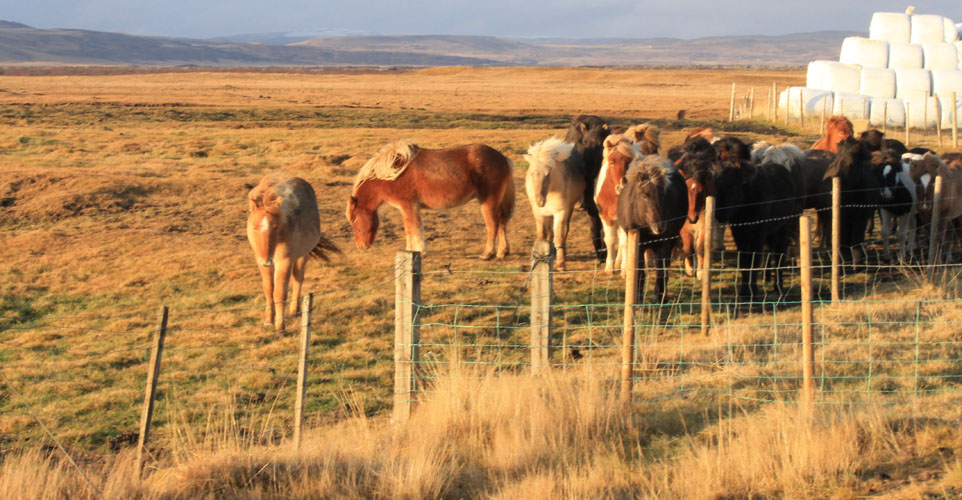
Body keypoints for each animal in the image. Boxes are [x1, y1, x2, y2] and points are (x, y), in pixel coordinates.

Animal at [248, 176, 342, 332]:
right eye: (255, 227)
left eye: (275, 227)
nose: (267, 260)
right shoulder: (261, 261)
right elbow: (268, 289)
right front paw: (269, 320)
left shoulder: (284, 261)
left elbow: (279, 293)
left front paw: (280, 326)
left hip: (302, 256)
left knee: (298, 278)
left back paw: (295, 310)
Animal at [344, 140, 510, 260]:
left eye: (354, 220)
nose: (361, 246)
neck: (392, 174)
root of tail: (503, 159)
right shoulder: (407, 208)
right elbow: (409, 229)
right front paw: (410, 250)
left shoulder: (409, 206)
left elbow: (414, 228)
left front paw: (420, 251)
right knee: (502, 222)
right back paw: (502, 252)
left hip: (488, 201)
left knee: (493, 225)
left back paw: (487, 254)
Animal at [524, 137, 584, 270]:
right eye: (531, 173)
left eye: (548, 173)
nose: (539, 201)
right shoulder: (539, 214)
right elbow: (542, 236)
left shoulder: (560, 213)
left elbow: (558, 238)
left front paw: (561, 264)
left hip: (568, 210)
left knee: (564, 230)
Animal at [592, 135, 636, 272]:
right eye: (612, 162)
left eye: (629, 162)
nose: (621, 187)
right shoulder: (605, 217)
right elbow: (610, 240)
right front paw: (609, 267)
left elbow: (624, 242)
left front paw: (625, 268)